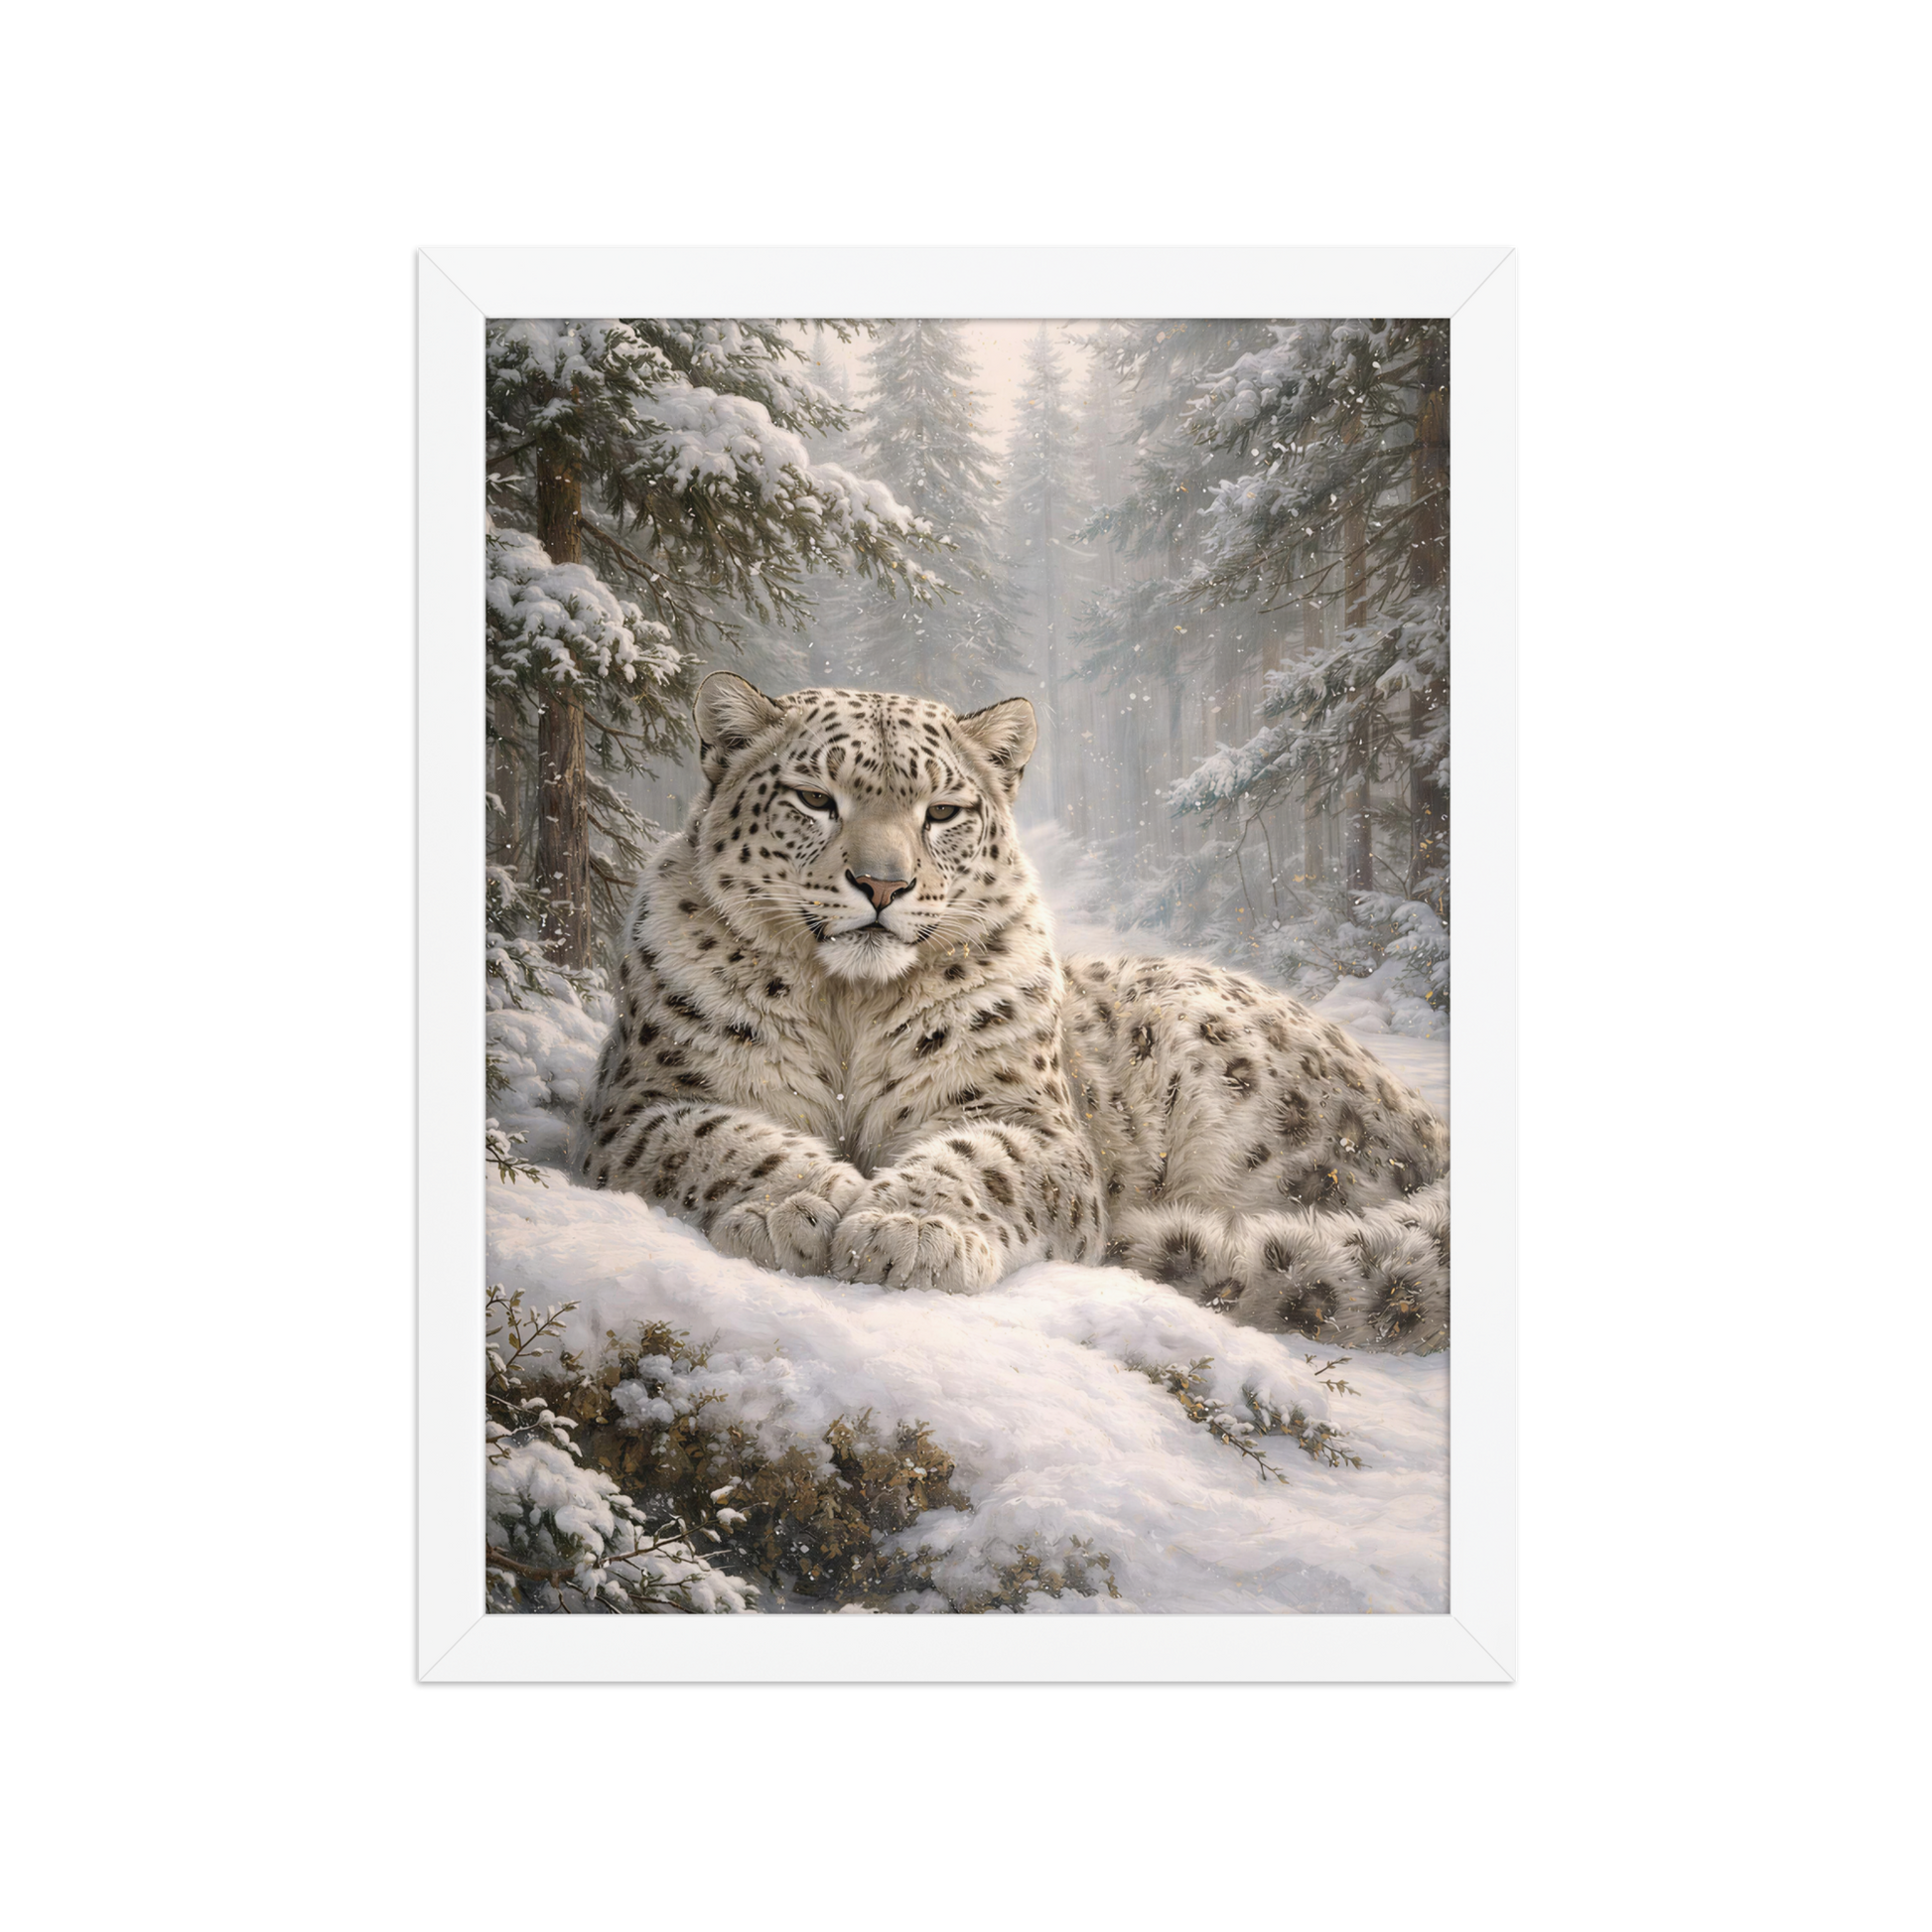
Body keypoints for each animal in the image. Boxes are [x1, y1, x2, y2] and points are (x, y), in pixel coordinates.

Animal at [570, 672, 1450, 1352]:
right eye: (816, 797)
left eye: (943, 811)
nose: (882, 884)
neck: (850, 1004)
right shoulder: (643, 1102)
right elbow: (723, 1140)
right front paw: (798, 1208)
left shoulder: (1028, 1118)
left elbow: (979, 1160)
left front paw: (907, 1230)